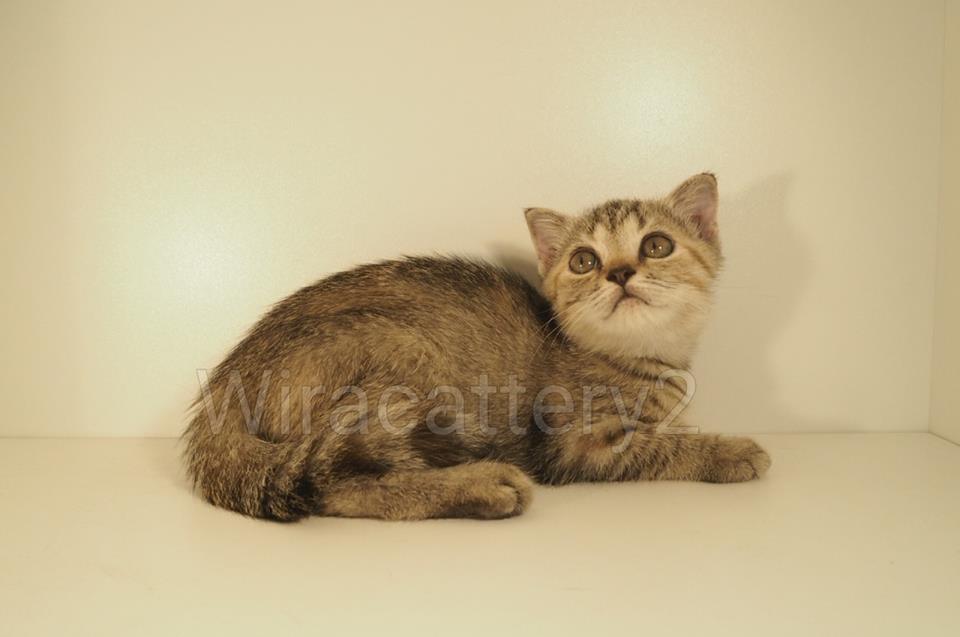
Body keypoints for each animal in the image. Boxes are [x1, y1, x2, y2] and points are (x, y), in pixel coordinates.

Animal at [182, 172, 771, 521]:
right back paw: (483, 486)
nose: (621, 272)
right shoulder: (577, 444)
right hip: (403, 358)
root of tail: (225, 383)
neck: (644, 360)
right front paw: (732, 451)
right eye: (584, 260)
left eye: (657, 245)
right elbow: (663, 447)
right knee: (333, 483)